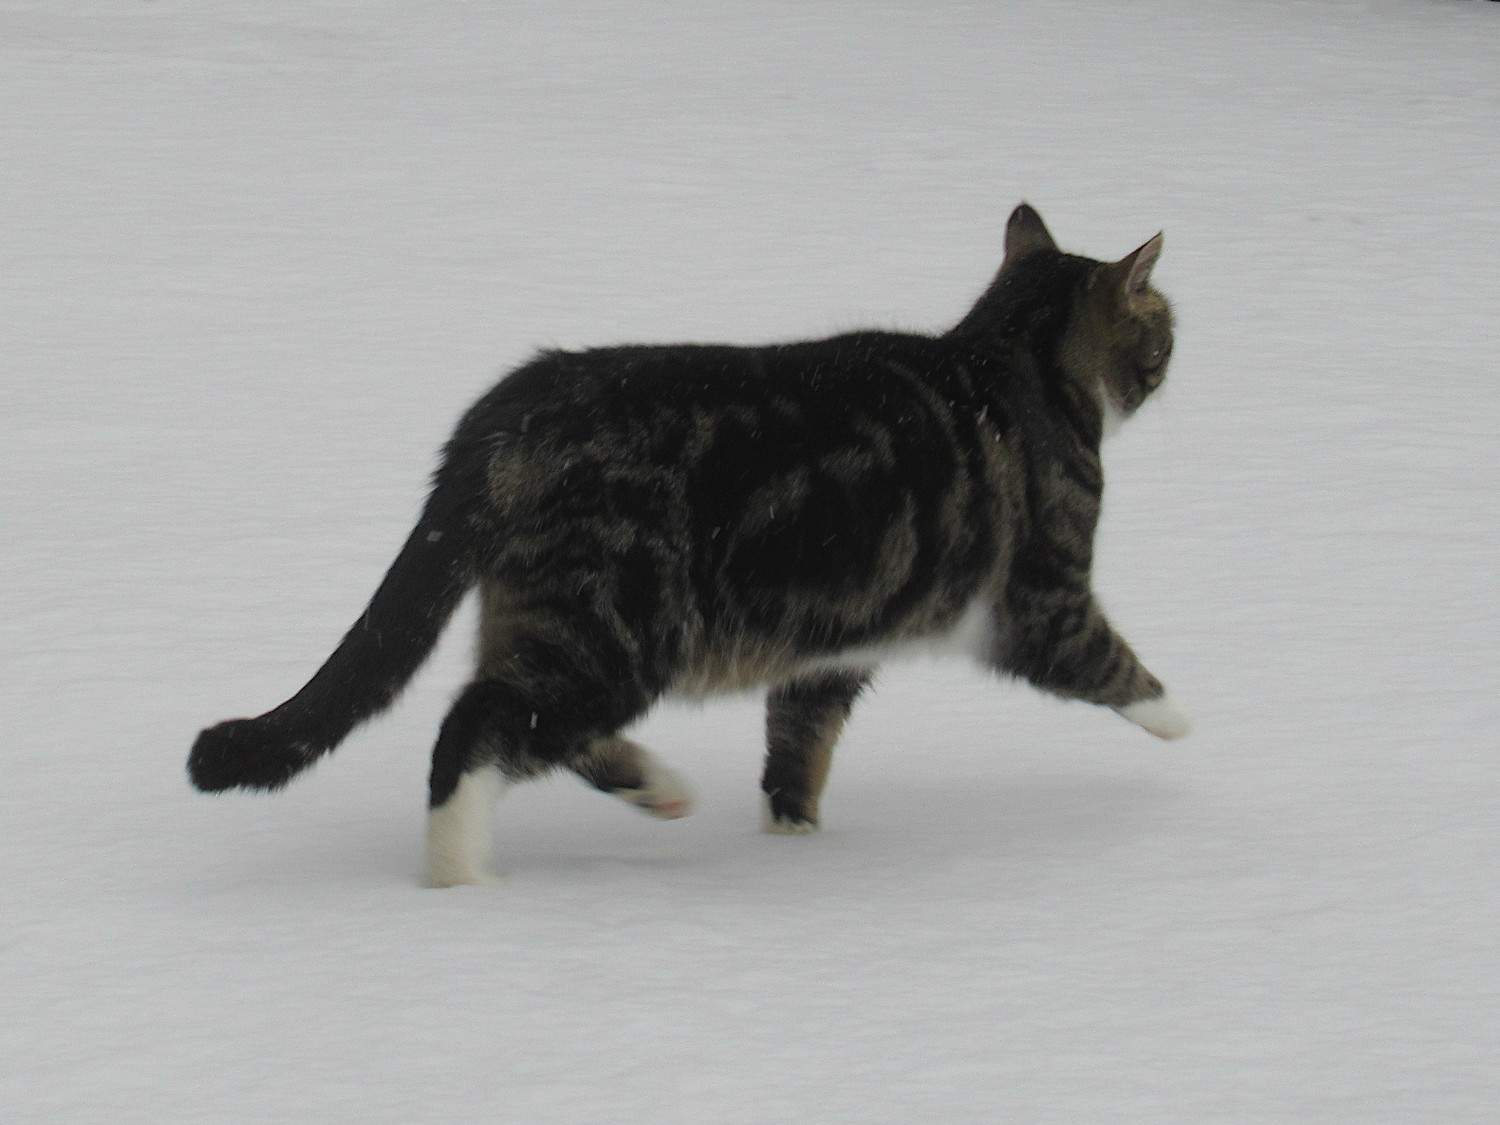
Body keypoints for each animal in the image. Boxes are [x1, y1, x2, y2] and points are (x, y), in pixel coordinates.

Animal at [188, 203, 1190, 887]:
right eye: (1165, 326)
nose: (1177, 353)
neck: (1015, 359)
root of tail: (520, 399)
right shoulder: (1042, 597)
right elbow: (1116, 666)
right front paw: (1185, 725)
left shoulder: (830, 645)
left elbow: (798, 744)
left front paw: (792, 837)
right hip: (615, 626)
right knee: (475, 730)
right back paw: (462, 875)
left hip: (546, 613)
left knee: (529, 724)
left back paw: (657, 788)